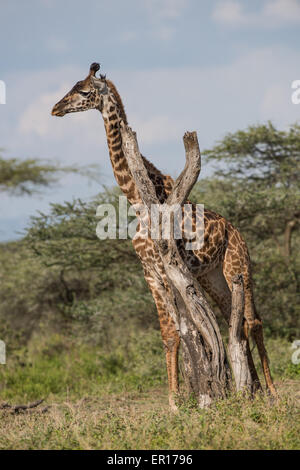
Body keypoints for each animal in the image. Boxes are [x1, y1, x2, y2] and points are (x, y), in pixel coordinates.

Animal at [51, 62, 276, 408]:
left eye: (84, 91)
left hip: (238, 266)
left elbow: (180, 332)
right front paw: (176, 401)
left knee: (252, 321)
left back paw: (271, 392)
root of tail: (236, 231)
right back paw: (251, 389)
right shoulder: (150, 273)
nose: (55, 108)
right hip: (213, 276)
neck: (137, 201)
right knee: (232, 319)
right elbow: (171, 335)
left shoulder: (165, 269)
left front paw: (176, 401)